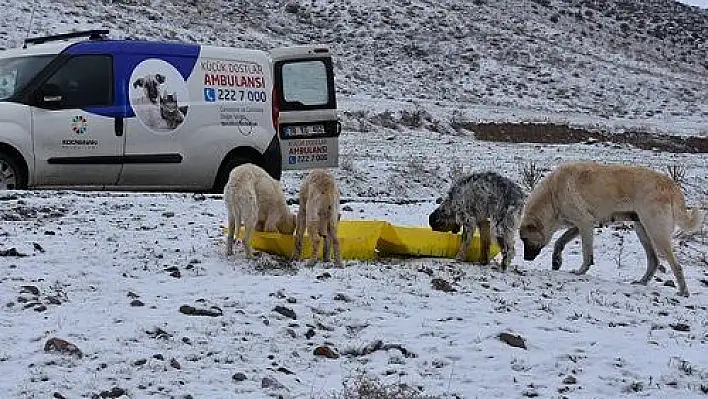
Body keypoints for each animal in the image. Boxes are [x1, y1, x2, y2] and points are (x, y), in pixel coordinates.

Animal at [516, 162, 704, 296]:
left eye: (525, 240)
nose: (526, 259)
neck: (552, 195)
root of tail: (671, 186)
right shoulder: (581, 225)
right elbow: (560, 242)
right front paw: (556, 261)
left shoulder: (585, 223)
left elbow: (586, 253)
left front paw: (580, 271)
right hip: (642, 230)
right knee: (654, 260)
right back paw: (642, 282)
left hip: (656, 232)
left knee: (676, 266)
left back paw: (683, 292)